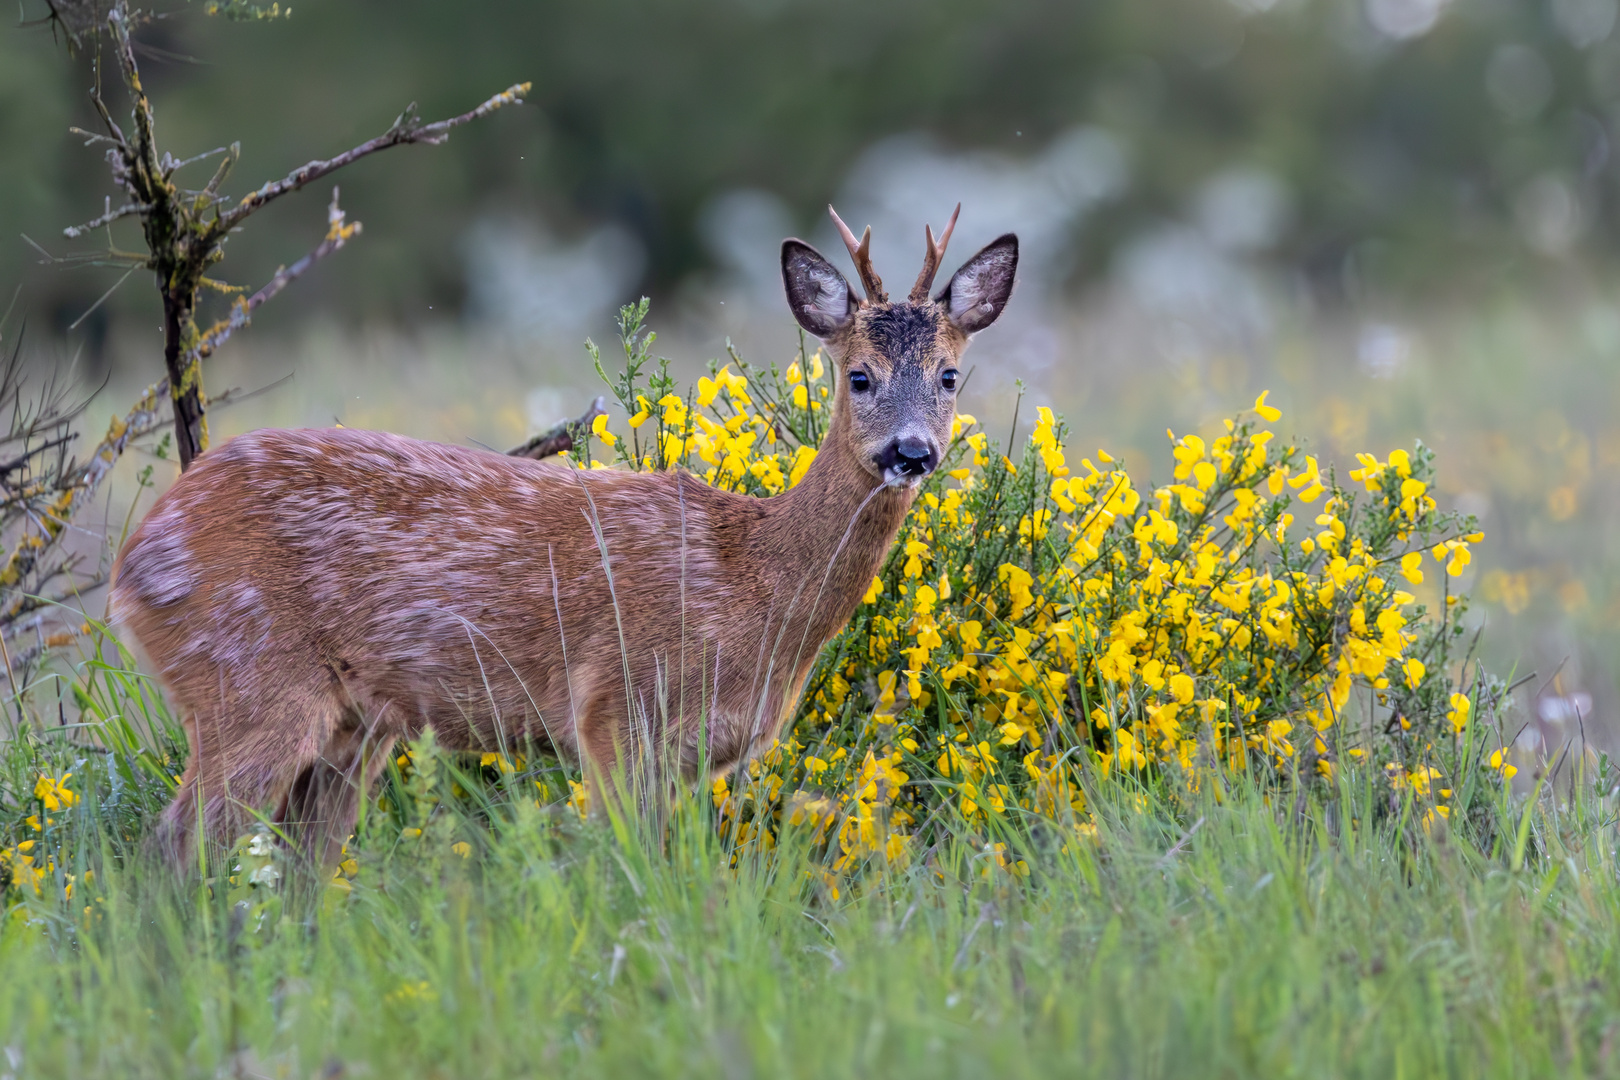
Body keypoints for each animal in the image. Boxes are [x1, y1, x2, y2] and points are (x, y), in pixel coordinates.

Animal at [114, 204, 1017, 867]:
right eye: (858, 375)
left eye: (950, 375)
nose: (911, 451)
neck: (755, 584)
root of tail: (135, 563)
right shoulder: (616, 707)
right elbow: (627, 870)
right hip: (245, 678)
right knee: (176, 846)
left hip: (351, 728)